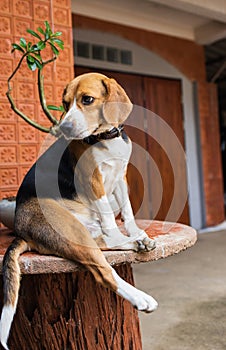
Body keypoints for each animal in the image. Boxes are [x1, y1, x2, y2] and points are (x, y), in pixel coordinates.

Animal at [0, 72, 158, 348]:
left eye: (87, 100)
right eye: (64, 103)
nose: (64, 128)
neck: (105, 138)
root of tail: (21, 230)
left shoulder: (120, 177)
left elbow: (127, 211)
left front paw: (136, 232)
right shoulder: (94, 181)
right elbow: (110, 217)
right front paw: (129, 234)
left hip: (80, 232)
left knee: (103, 243)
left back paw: (137, 242)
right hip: (71, 227)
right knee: (103, 269)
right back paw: (140, 297)